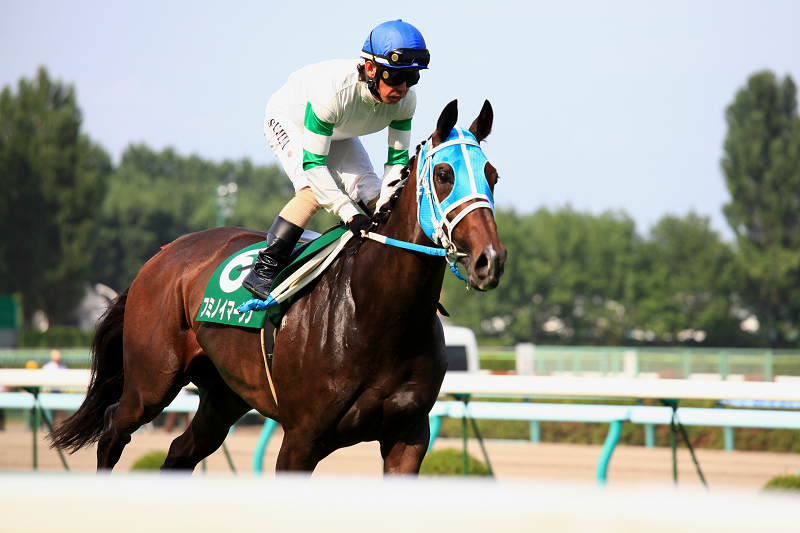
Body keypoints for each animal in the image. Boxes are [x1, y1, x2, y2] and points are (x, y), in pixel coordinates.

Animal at [51, 100, 506, 474]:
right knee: (114, 426)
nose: (490, 259)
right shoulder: (301, 440)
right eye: (444, 174)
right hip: (151, 381)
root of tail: (162, 256)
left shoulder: (407, 438)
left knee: (180, 451)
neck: (376, 315)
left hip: (224, 395)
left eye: (493, 175)